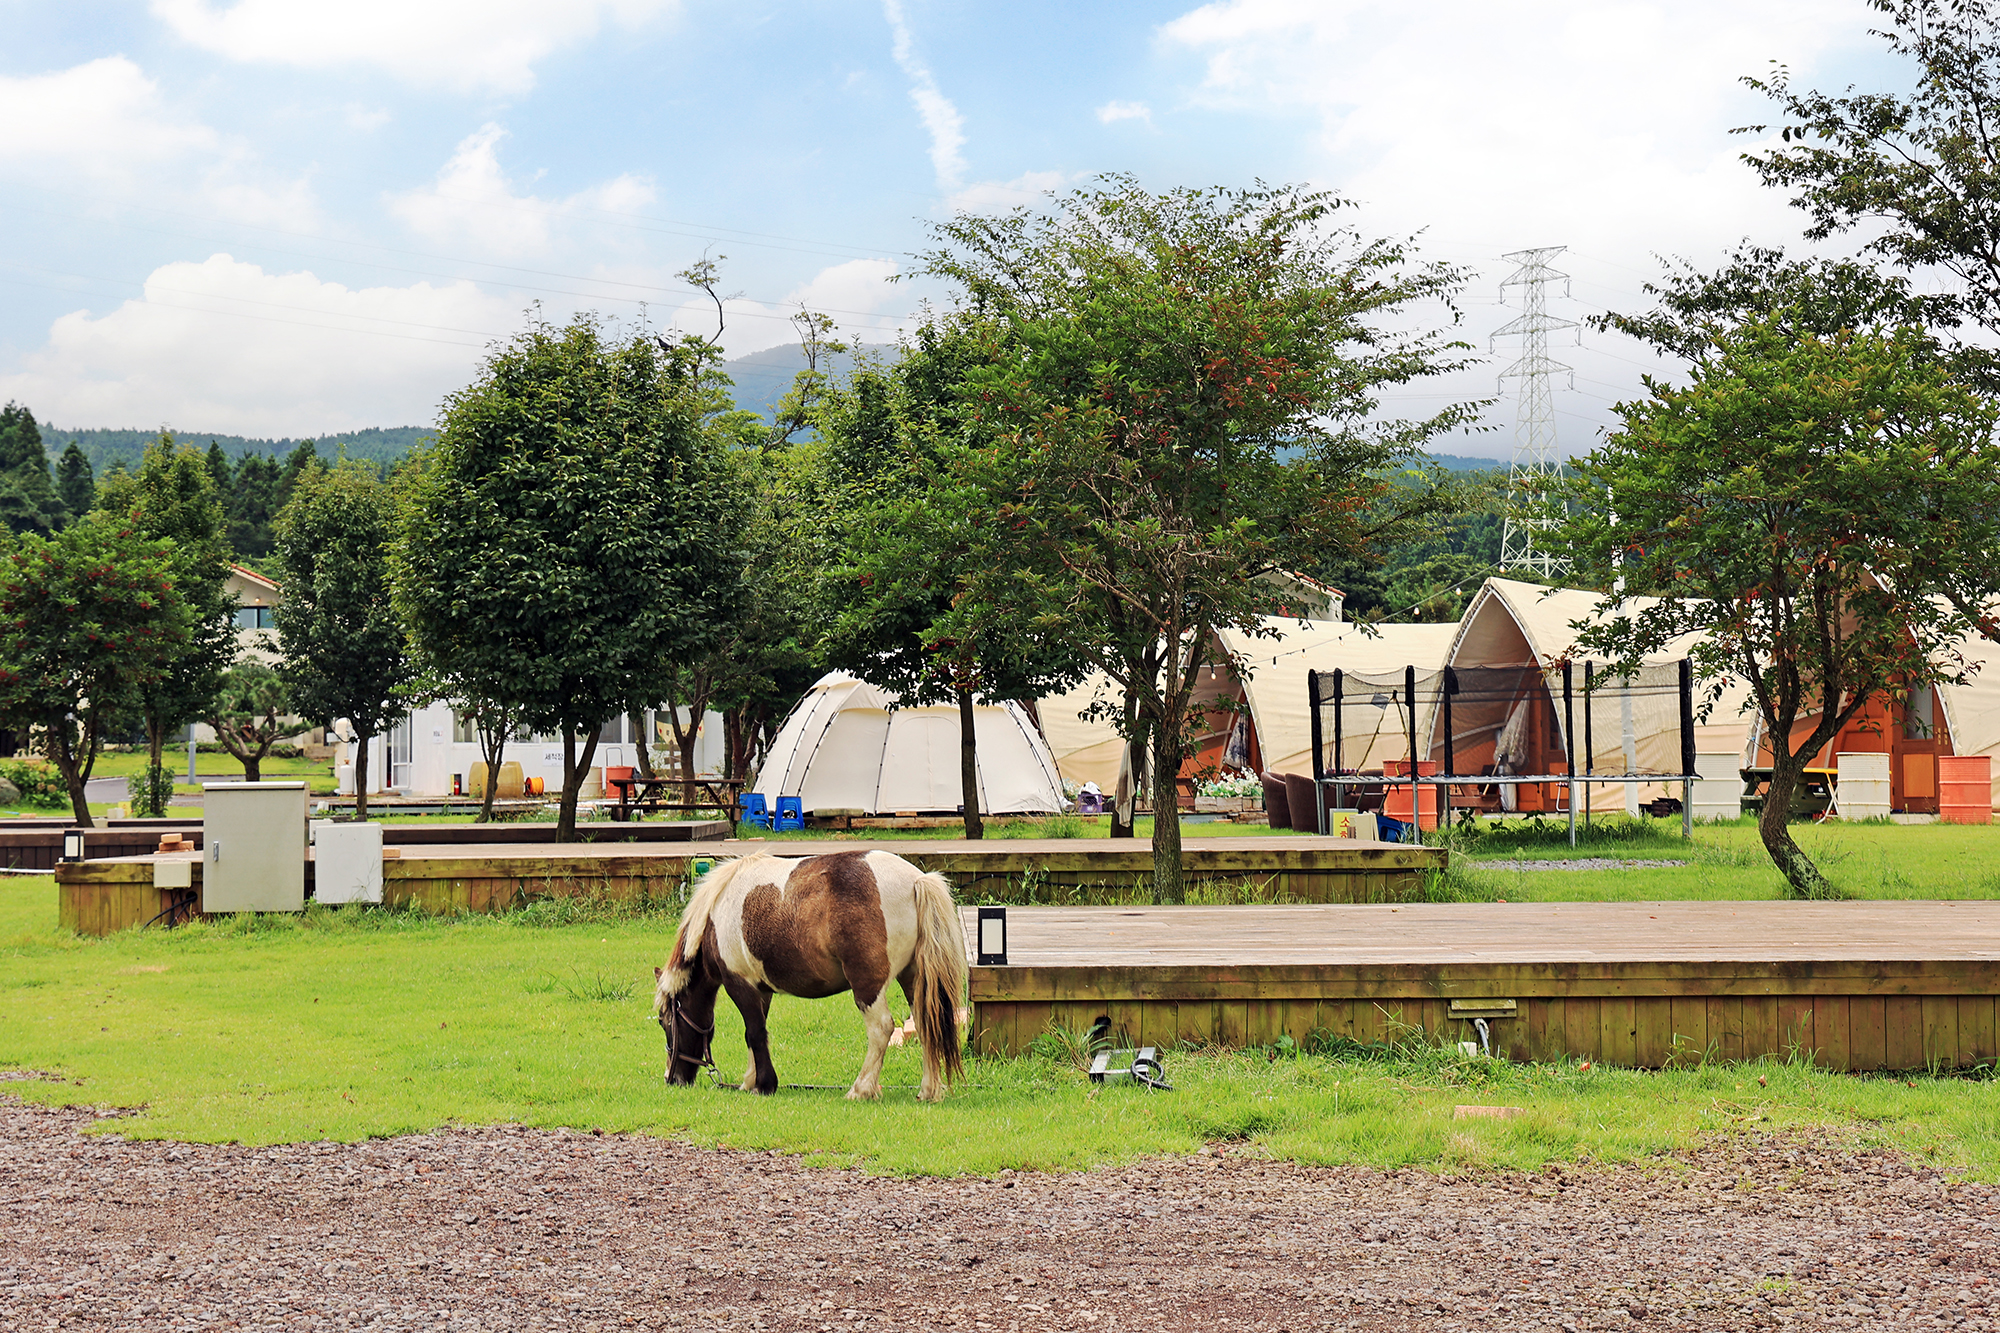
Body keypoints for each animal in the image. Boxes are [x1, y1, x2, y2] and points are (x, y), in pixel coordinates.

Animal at [656, 852, 968, 1096]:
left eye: (664, 1021)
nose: (672, 1079)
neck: (715, 916)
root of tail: (917, 880)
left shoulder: (739, 983)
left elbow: (754, 1032)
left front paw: (764, 1084)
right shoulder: (761, 989)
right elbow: (756, 1032)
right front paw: (751, 1081)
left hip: (868, 985)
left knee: (881, 1028)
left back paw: (861, 1089)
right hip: (912, 977)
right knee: (926, 1023)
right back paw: (928, 1090)